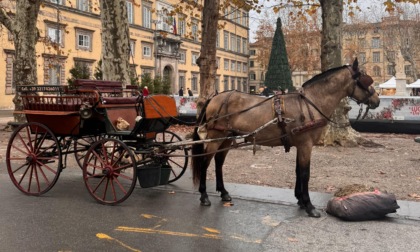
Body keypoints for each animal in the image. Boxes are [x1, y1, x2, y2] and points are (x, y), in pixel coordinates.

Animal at [192, 58, 382, 217]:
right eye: (365, 79)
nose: (377, 99)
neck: (310, 103)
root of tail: (214, 97)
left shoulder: (301, 144)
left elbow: (298, 171)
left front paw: (300, 200)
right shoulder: (306, 145)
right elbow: (305, 173)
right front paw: (309, 205)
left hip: (227, 137)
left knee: (218, 162)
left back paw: (223, 192)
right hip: (216, 137)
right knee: (205, 162)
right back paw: (204, 195)